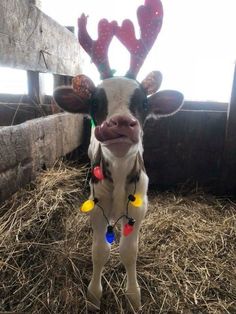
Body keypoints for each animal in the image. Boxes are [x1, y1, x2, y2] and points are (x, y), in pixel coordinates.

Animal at [54, 0, 184, 310]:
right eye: (95, 102)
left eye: (144, 103)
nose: (121, 123)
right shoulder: (96, 204)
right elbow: (100, 250)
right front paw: (93, 296)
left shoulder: (139, 207)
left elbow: (128, 251)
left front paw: (133, 297)